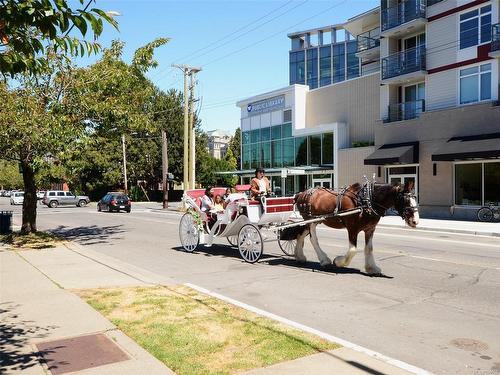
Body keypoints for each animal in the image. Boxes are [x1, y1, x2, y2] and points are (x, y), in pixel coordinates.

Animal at [286, 183, 418, 276]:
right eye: (406, 200)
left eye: (415, 199)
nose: (415, 221)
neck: (366, 201)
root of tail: (300, 194)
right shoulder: (352, 228)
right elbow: (353, 250)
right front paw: (338, 261)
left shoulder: (370, 229)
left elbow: (369, 249)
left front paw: (372, 268)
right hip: (311, 220)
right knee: (314, 239)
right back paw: (324, 260)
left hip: (314, 220)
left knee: (300, 235)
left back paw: (299, 256)